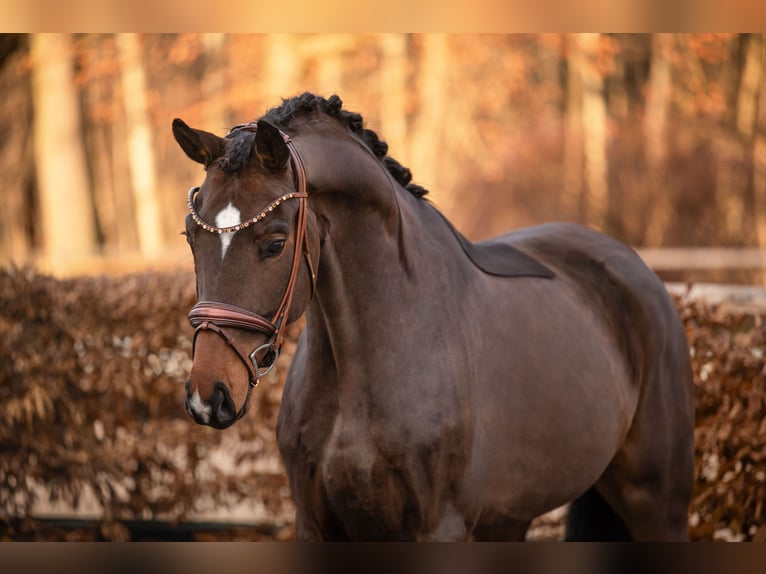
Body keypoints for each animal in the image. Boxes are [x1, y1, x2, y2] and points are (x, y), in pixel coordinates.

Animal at [172, 93, 694, 541]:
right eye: (190, 237)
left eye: (276, 242)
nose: (208, 396)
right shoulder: (318, 526)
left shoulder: (438, 528)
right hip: (511, 518)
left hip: (658, 506)